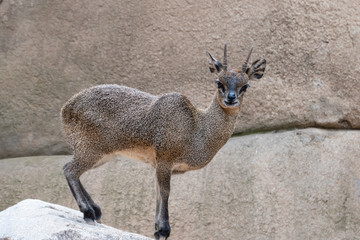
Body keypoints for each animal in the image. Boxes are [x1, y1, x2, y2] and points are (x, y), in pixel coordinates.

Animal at [60, 44, 266, 238]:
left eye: (245, 85)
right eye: (218, 82)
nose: (231, 98)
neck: (196, 128)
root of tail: (65, 109)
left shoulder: (158, 165)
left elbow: (158, 192)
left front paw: (158, 229)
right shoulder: (165, 160)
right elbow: (165, 191)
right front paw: (164, 230)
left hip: (101, 155)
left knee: (72, 170)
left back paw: (95, 211)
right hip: (91, 149)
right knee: (69, 170)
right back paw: (88, 212)